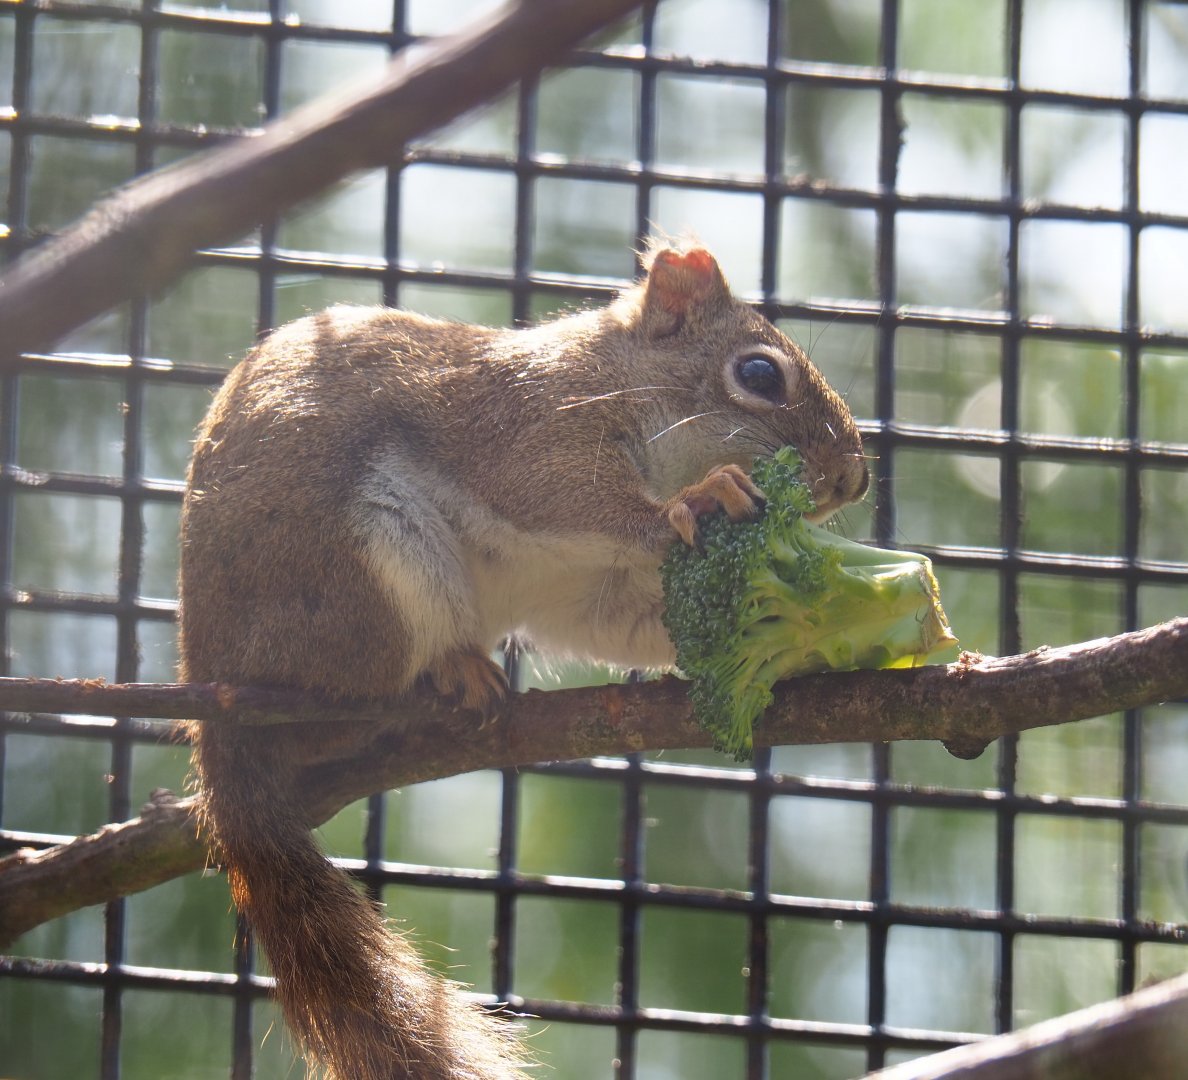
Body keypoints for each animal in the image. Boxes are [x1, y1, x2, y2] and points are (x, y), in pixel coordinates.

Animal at [178, 242, 869, 1079]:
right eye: (762, 373)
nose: (855, 478)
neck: (614, 378)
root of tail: (214, 713)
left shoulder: (595, 588)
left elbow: (633, 619)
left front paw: (813, 641)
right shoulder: (530, 427)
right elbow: (560, 493)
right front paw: (702, 497)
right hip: (361, 569)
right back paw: (444, 676)